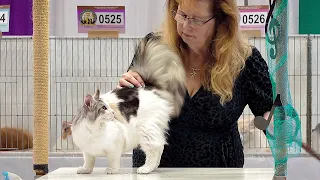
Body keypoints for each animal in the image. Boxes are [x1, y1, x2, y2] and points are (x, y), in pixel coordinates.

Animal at [69, 33, 186, 174]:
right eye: (104, 108)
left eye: (108, 107)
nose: (113, 113)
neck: (94, 130)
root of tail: (148, 86)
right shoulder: (87, 151)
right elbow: (88, 161)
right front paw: (85, 170)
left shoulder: (115, 145)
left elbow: (113, 160)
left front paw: (112, 170)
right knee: (159, 147)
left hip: (146, 129)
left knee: (155, 148)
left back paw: (145, 169)